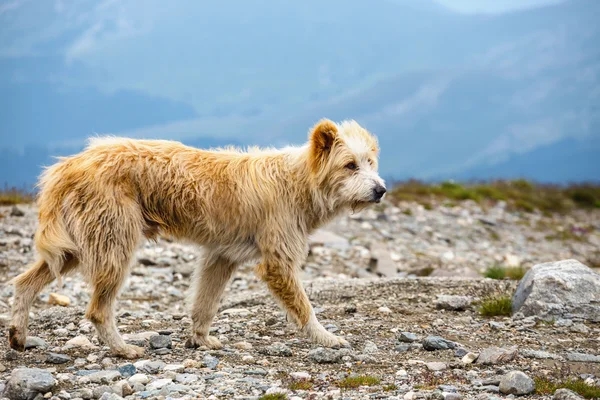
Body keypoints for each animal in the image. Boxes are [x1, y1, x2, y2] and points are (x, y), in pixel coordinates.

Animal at [9, 119, 386, 360]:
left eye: (370, 162)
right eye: (350, 165)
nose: (381, 189)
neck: (298, 182)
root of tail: (69, 164)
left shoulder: (221, 255)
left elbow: (205, 303)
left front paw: (201, 340)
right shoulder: (277, 258)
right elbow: (304, 307)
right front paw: (327, 337)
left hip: (73, 244)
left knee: (25, 282)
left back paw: (18, 335)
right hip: (113, 240)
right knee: (98, 310)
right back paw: (123, 348)